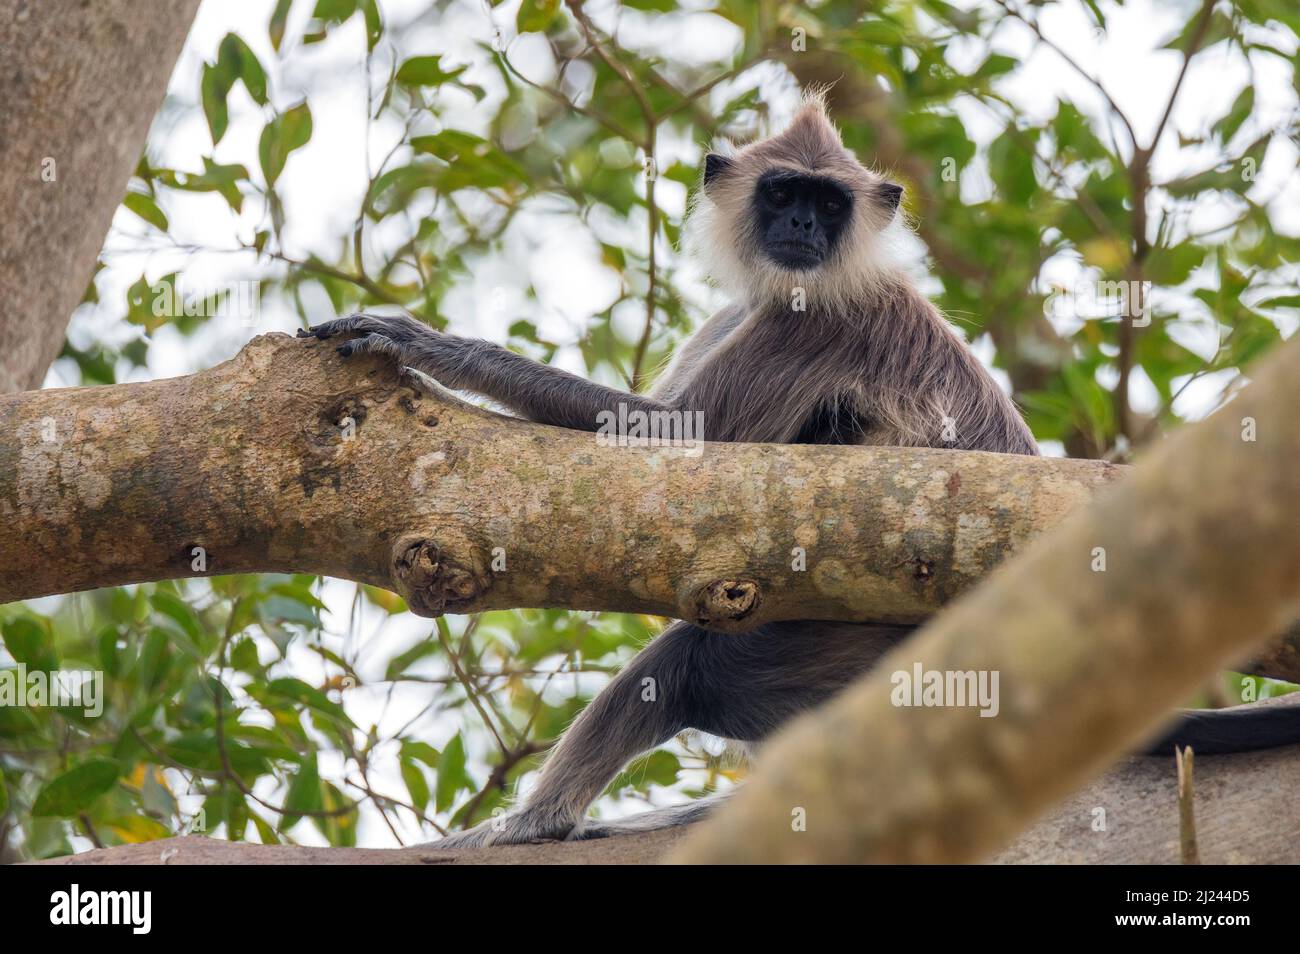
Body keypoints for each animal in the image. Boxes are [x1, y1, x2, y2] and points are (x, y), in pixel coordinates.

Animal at [299, 93, 1300, 847]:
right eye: (784, 190)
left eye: (828, 203)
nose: (798, 224)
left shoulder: (813, 320)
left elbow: (670, 439)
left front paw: (429, 346)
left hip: (843, 641)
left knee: (687, 661)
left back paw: (536, 823)